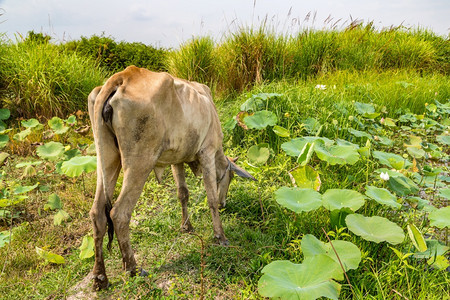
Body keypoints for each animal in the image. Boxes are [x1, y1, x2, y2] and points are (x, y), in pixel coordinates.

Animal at [87, 66, 255, 290]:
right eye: (230, 178)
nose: (224, 204)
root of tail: (121, 78)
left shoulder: (177, 159)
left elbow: (183, 193)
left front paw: (186, 226)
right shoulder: (207, 152)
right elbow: (209, 197)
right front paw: (220, 235)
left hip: (105, 158)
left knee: (98, 213)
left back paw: (100, 277)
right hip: (140, 161)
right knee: (119, 213)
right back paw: (133, 268)